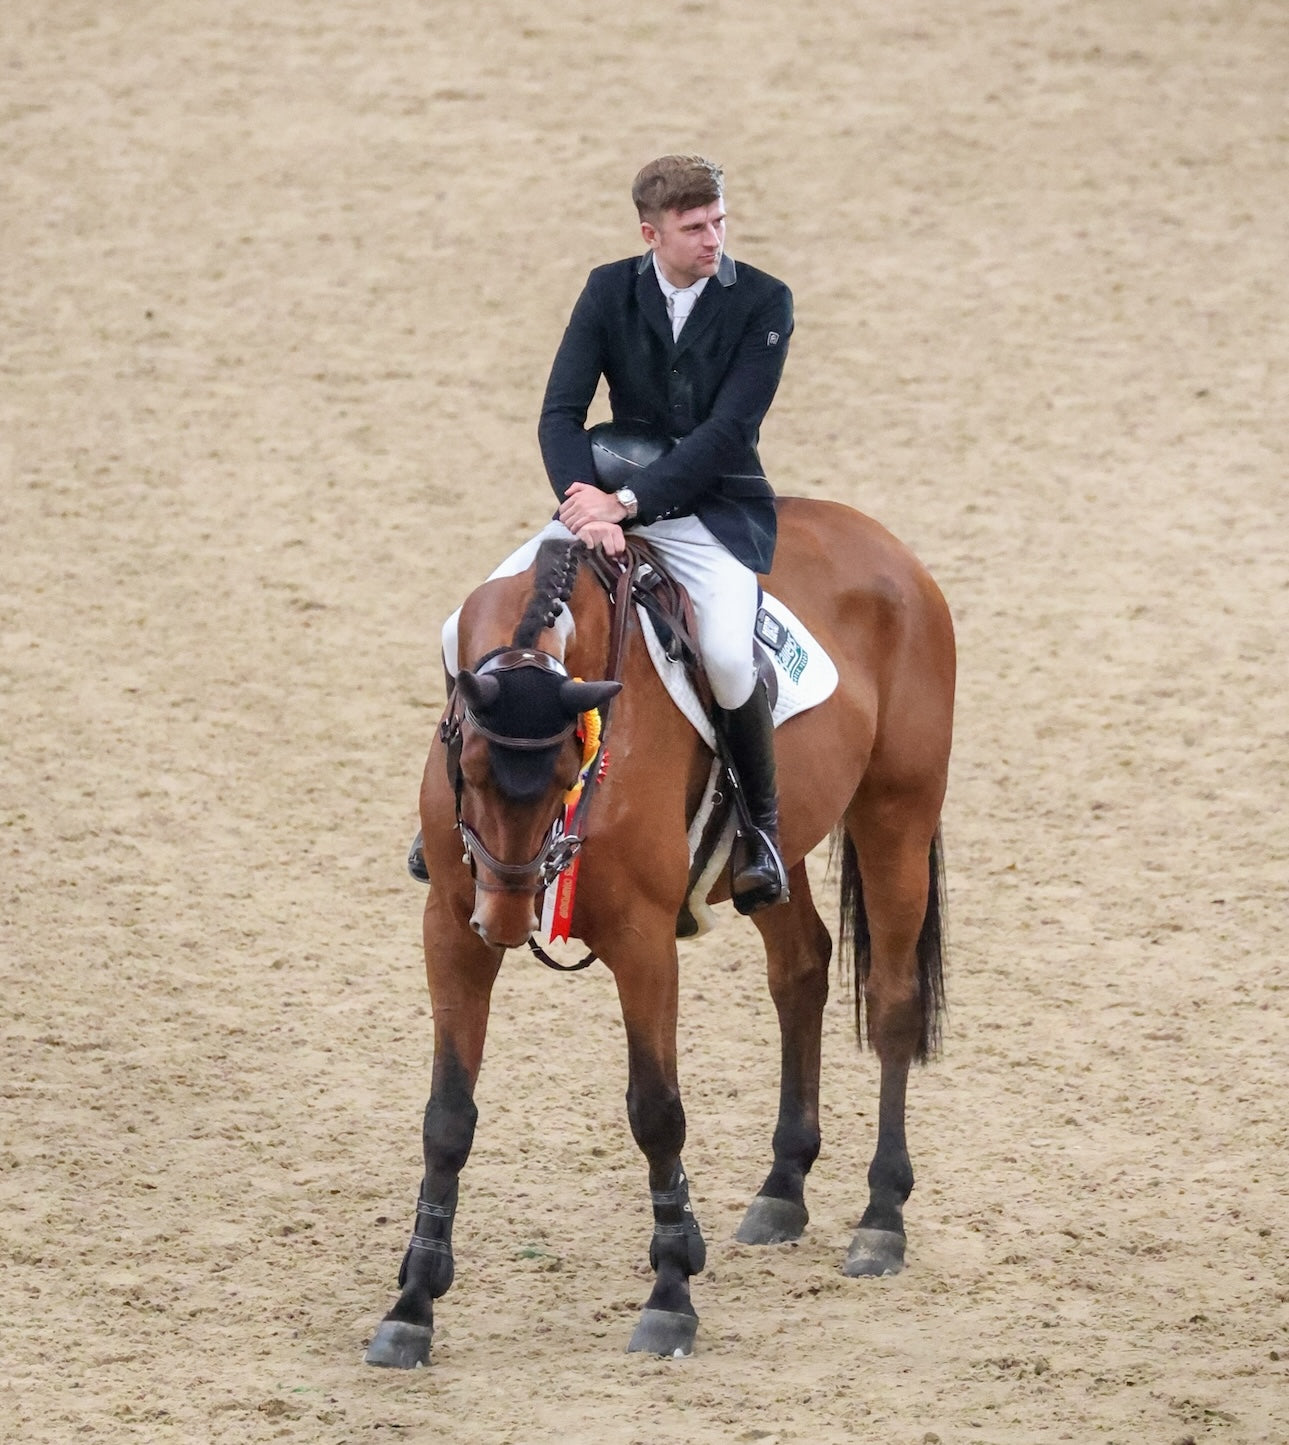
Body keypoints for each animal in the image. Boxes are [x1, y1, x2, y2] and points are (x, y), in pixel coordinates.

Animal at [367, 497, 953, 1364]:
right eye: (465, 762)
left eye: (567, 772)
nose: (506, 920)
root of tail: (880, 540)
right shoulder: (449, 927)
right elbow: (447, 1117)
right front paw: (411, 1304)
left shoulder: (640, 939)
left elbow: (655, 1110)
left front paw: (671, 1291)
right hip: (783, 845)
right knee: (801, 970)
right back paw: (782, 1190)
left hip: (895, 814)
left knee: (890, 1001)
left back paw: (881, 1219)